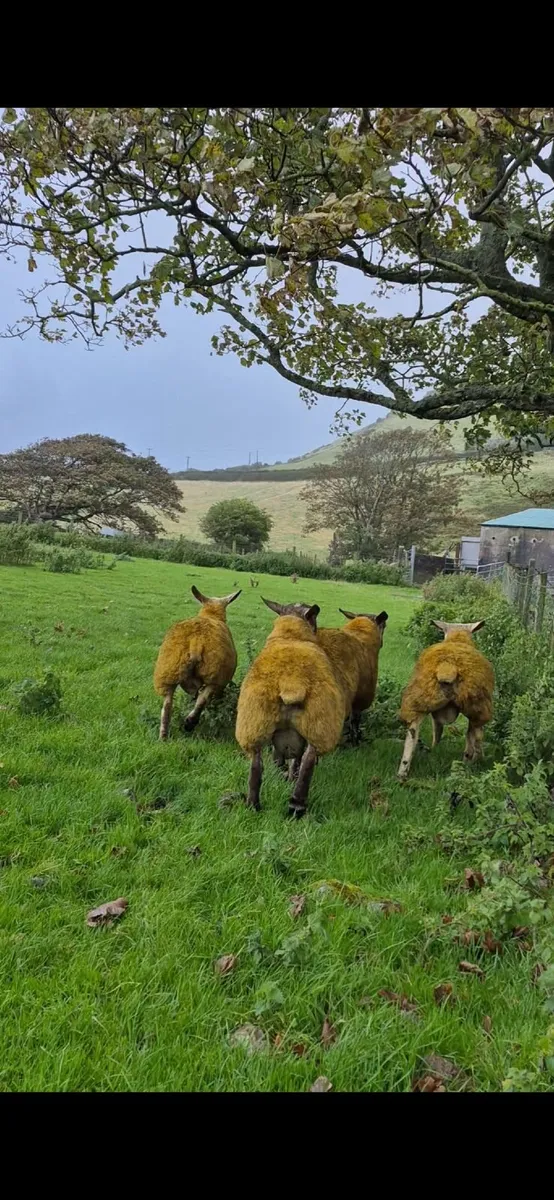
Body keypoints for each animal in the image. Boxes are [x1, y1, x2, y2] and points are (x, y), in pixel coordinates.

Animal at [154, 585, 241, 740]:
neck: (210, 615)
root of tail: (196, 641)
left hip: (167, 673)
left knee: (167, 705)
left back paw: (163, 736)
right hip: (216, 677)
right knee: (202, 700)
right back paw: (189, 723)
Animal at [235, 598, 345, 818]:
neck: (291, 637)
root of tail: (291, 682)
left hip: (254, 723)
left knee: (256, 767)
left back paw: (254, 805)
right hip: (318, 726)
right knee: (306, 764)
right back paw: (297, 805)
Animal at [397, 620, 494, 780]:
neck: (457, 639)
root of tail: (448, 667)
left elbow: (438, 730)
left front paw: (435, 748)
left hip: (418, 702)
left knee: (412, 735)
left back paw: (402, 773)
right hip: (479, 706)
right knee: (475, 735)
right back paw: (471, 762)